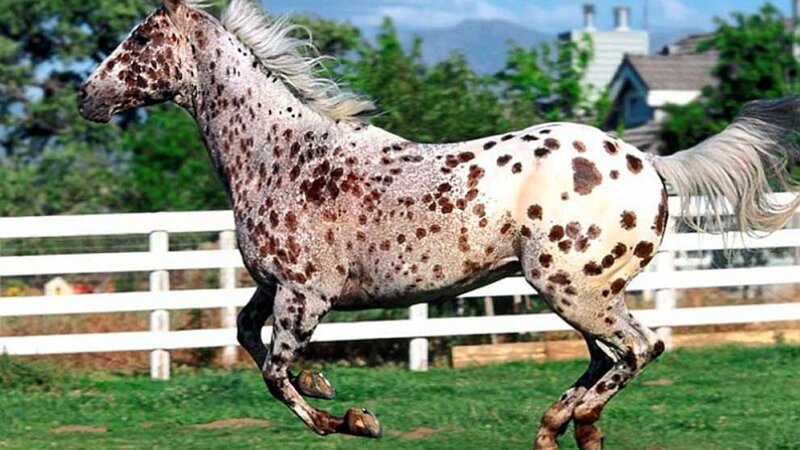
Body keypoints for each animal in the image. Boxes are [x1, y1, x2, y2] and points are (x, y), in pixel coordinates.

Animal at [77, 1, 800, 448]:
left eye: (139, 40)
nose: (86, 95)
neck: (282, 155)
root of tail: (650, 162)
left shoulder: (305, 294)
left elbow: (276, 374)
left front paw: (356, 419)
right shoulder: (271, 287)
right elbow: (248, 337)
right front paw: (326, 384)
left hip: (575, 288)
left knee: (638, 349)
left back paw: (575, 421)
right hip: (584, 293)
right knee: (608, 357)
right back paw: (561, 426)